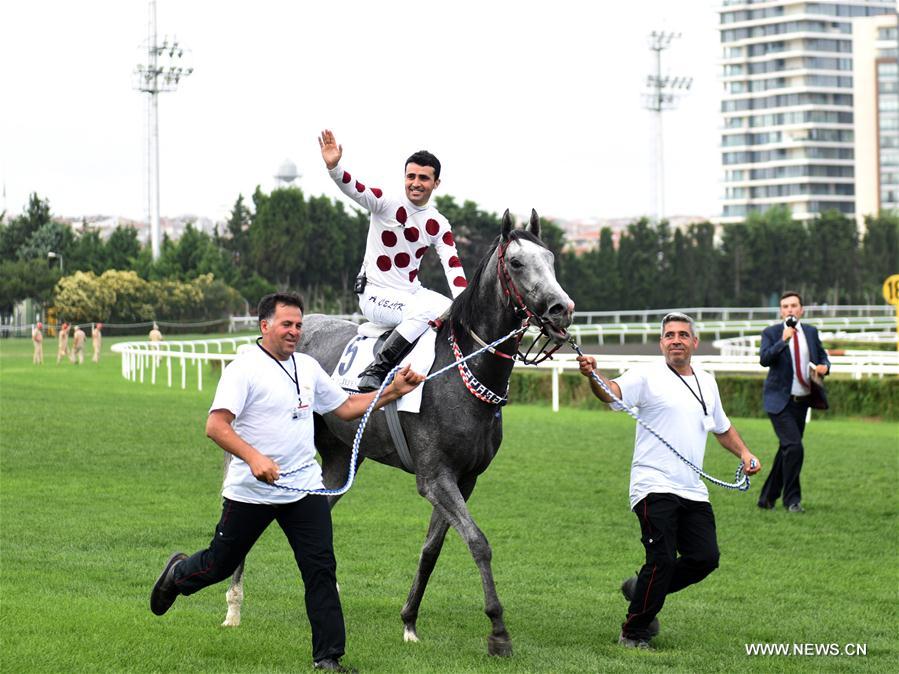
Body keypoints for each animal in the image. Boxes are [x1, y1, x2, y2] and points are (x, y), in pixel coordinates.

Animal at [223, 209, 574, 657]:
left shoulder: (465, 479)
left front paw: (409, 621)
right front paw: (498, 631)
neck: (462, 371)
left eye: (551, 259)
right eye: (516, 262)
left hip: (339, 457)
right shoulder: (435, 477)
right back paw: (233, 607)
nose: (561, 309)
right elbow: (478, 542)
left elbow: (432, 549)